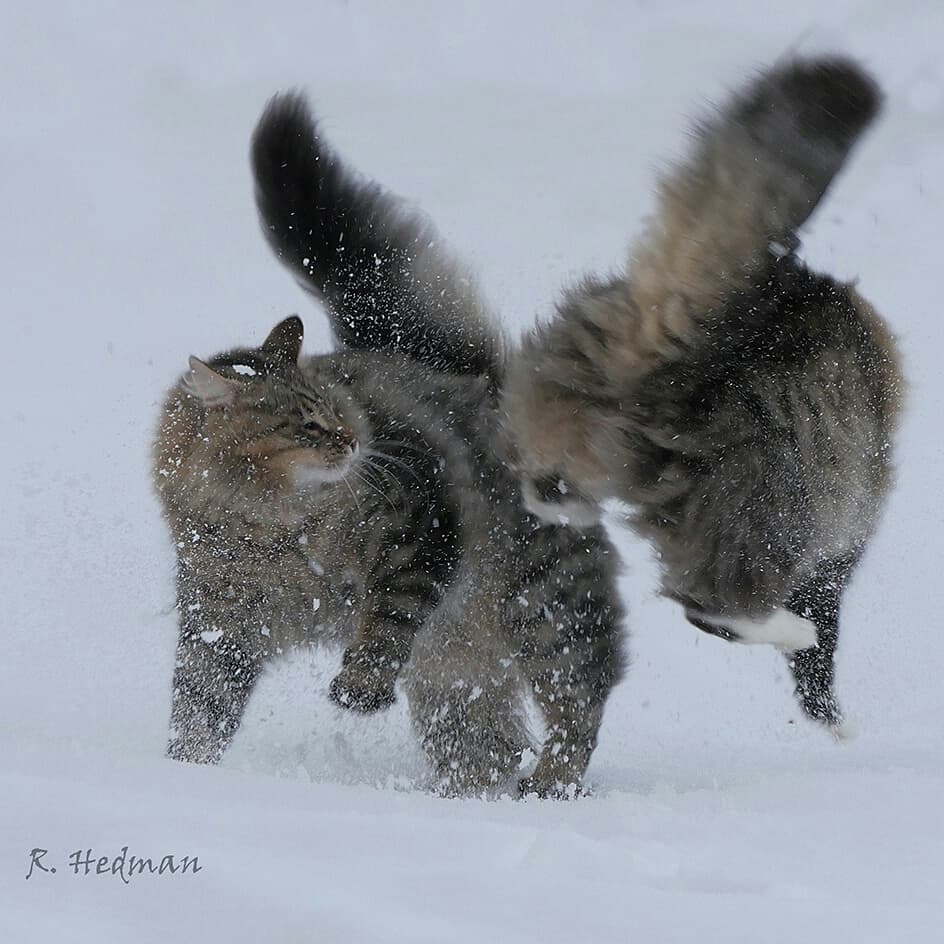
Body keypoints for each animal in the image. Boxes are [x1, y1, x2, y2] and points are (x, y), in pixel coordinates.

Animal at [153, 92, 628, 792]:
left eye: (337, 407)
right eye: (307, 423)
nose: (356, 440)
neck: (271, 528)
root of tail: (490, 385)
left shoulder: (418, 519)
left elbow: (391, 613)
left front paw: (359, 685)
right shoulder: (220, 617)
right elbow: (199, 709)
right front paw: (182, 776)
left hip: (544, 605)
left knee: (579, 704)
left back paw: (549, 784)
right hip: (457, 677)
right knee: (486, 745)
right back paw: (473, 796)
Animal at [498, 57, 904, 732]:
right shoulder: (836, 547)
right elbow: (819, 652)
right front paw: (831, 719)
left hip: (572, 387)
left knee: (547, 478)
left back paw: (560, 501)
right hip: (769, 502)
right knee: (711, 603)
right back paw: (788, 633)